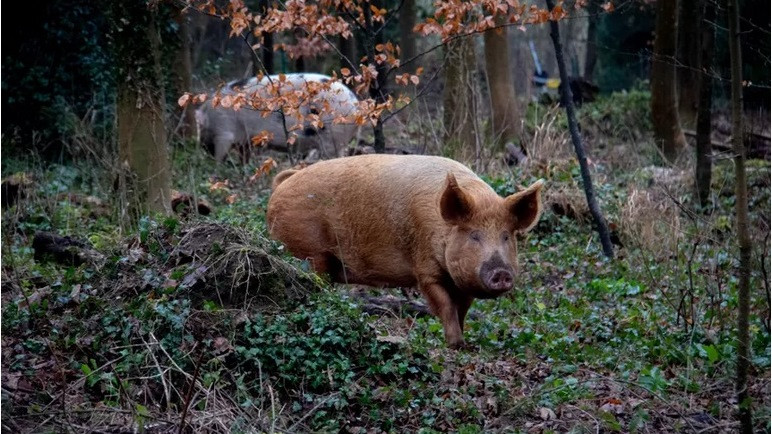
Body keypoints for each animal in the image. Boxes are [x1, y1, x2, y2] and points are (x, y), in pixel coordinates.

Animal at [266, 154, 544, 348]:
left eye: (506, 236)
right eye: (474, 235)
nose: (501, 272)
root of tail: (281, 185)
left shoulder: (463, 280)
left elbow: (462, 309)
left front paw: (465, 343)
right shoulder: (425, 269)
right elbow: (444, 305)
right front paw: (456, 345)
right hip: (310, 253)